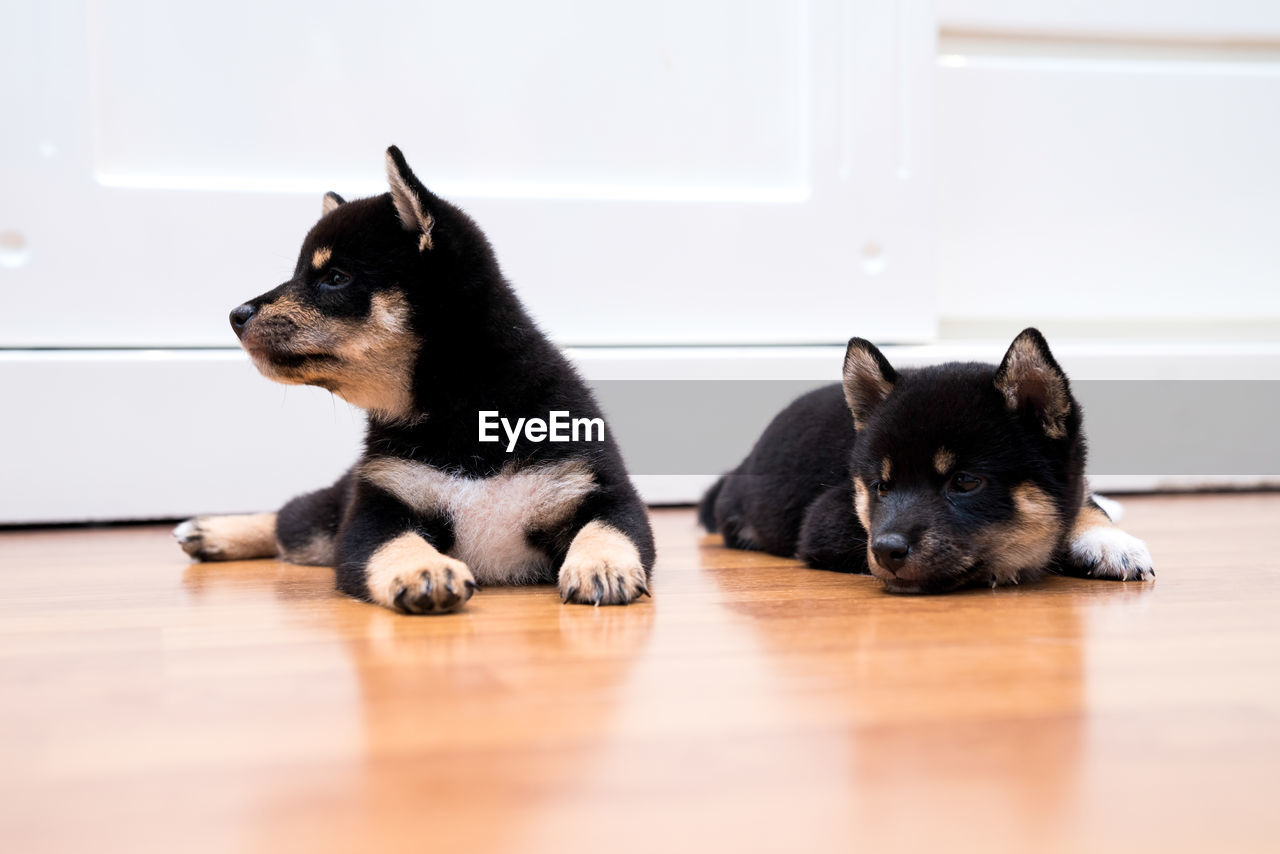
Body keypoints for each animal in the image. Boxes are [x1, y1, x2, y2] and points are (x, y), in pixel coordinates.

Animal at [175, 148, 655, 614]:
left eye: (335, 278)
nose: (236, 315)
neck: (463, 406)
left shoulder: (593, 485)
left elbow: (608, 527)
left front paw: (601, 564)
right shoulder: (376, 507)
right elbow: (395, 544)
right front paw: (424, 570)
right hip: (326, 519)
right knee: (288, 520)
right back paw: (210, 531)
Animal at [706, 330, 1157, 594]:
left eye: (965, 482)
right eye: (881, 487)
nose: (886, 550)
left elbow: (1083, 504)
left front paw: (1107, 540)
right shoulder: (825, 521)